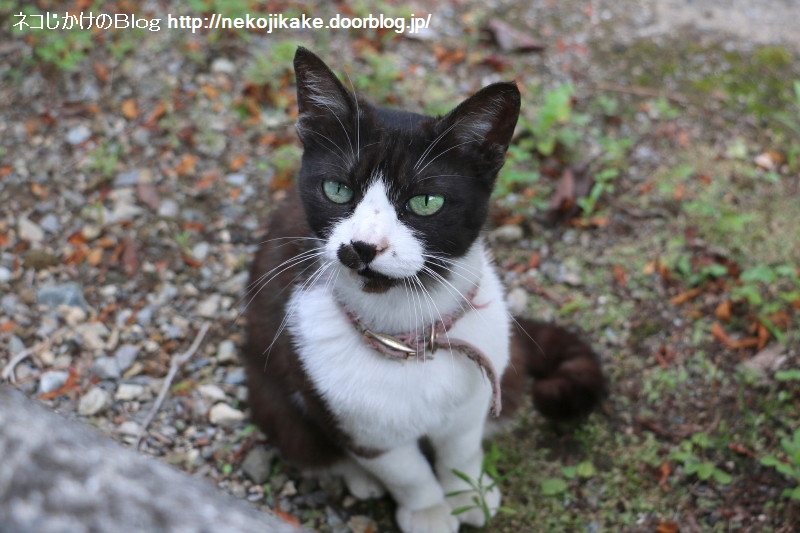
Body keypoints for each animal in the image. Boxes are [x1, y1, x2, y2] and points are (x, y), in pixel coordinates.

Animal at [244, 46, 608, 532]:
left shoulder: (475, 389)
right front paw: (430, 513)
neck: (411, 333)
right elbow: (406, 471)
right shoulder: (348, 415)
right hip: (271, 395)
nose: (362, 246)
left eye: (425, 202)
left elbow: (462, 450)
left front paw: (468, 495)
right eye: (337, 189)